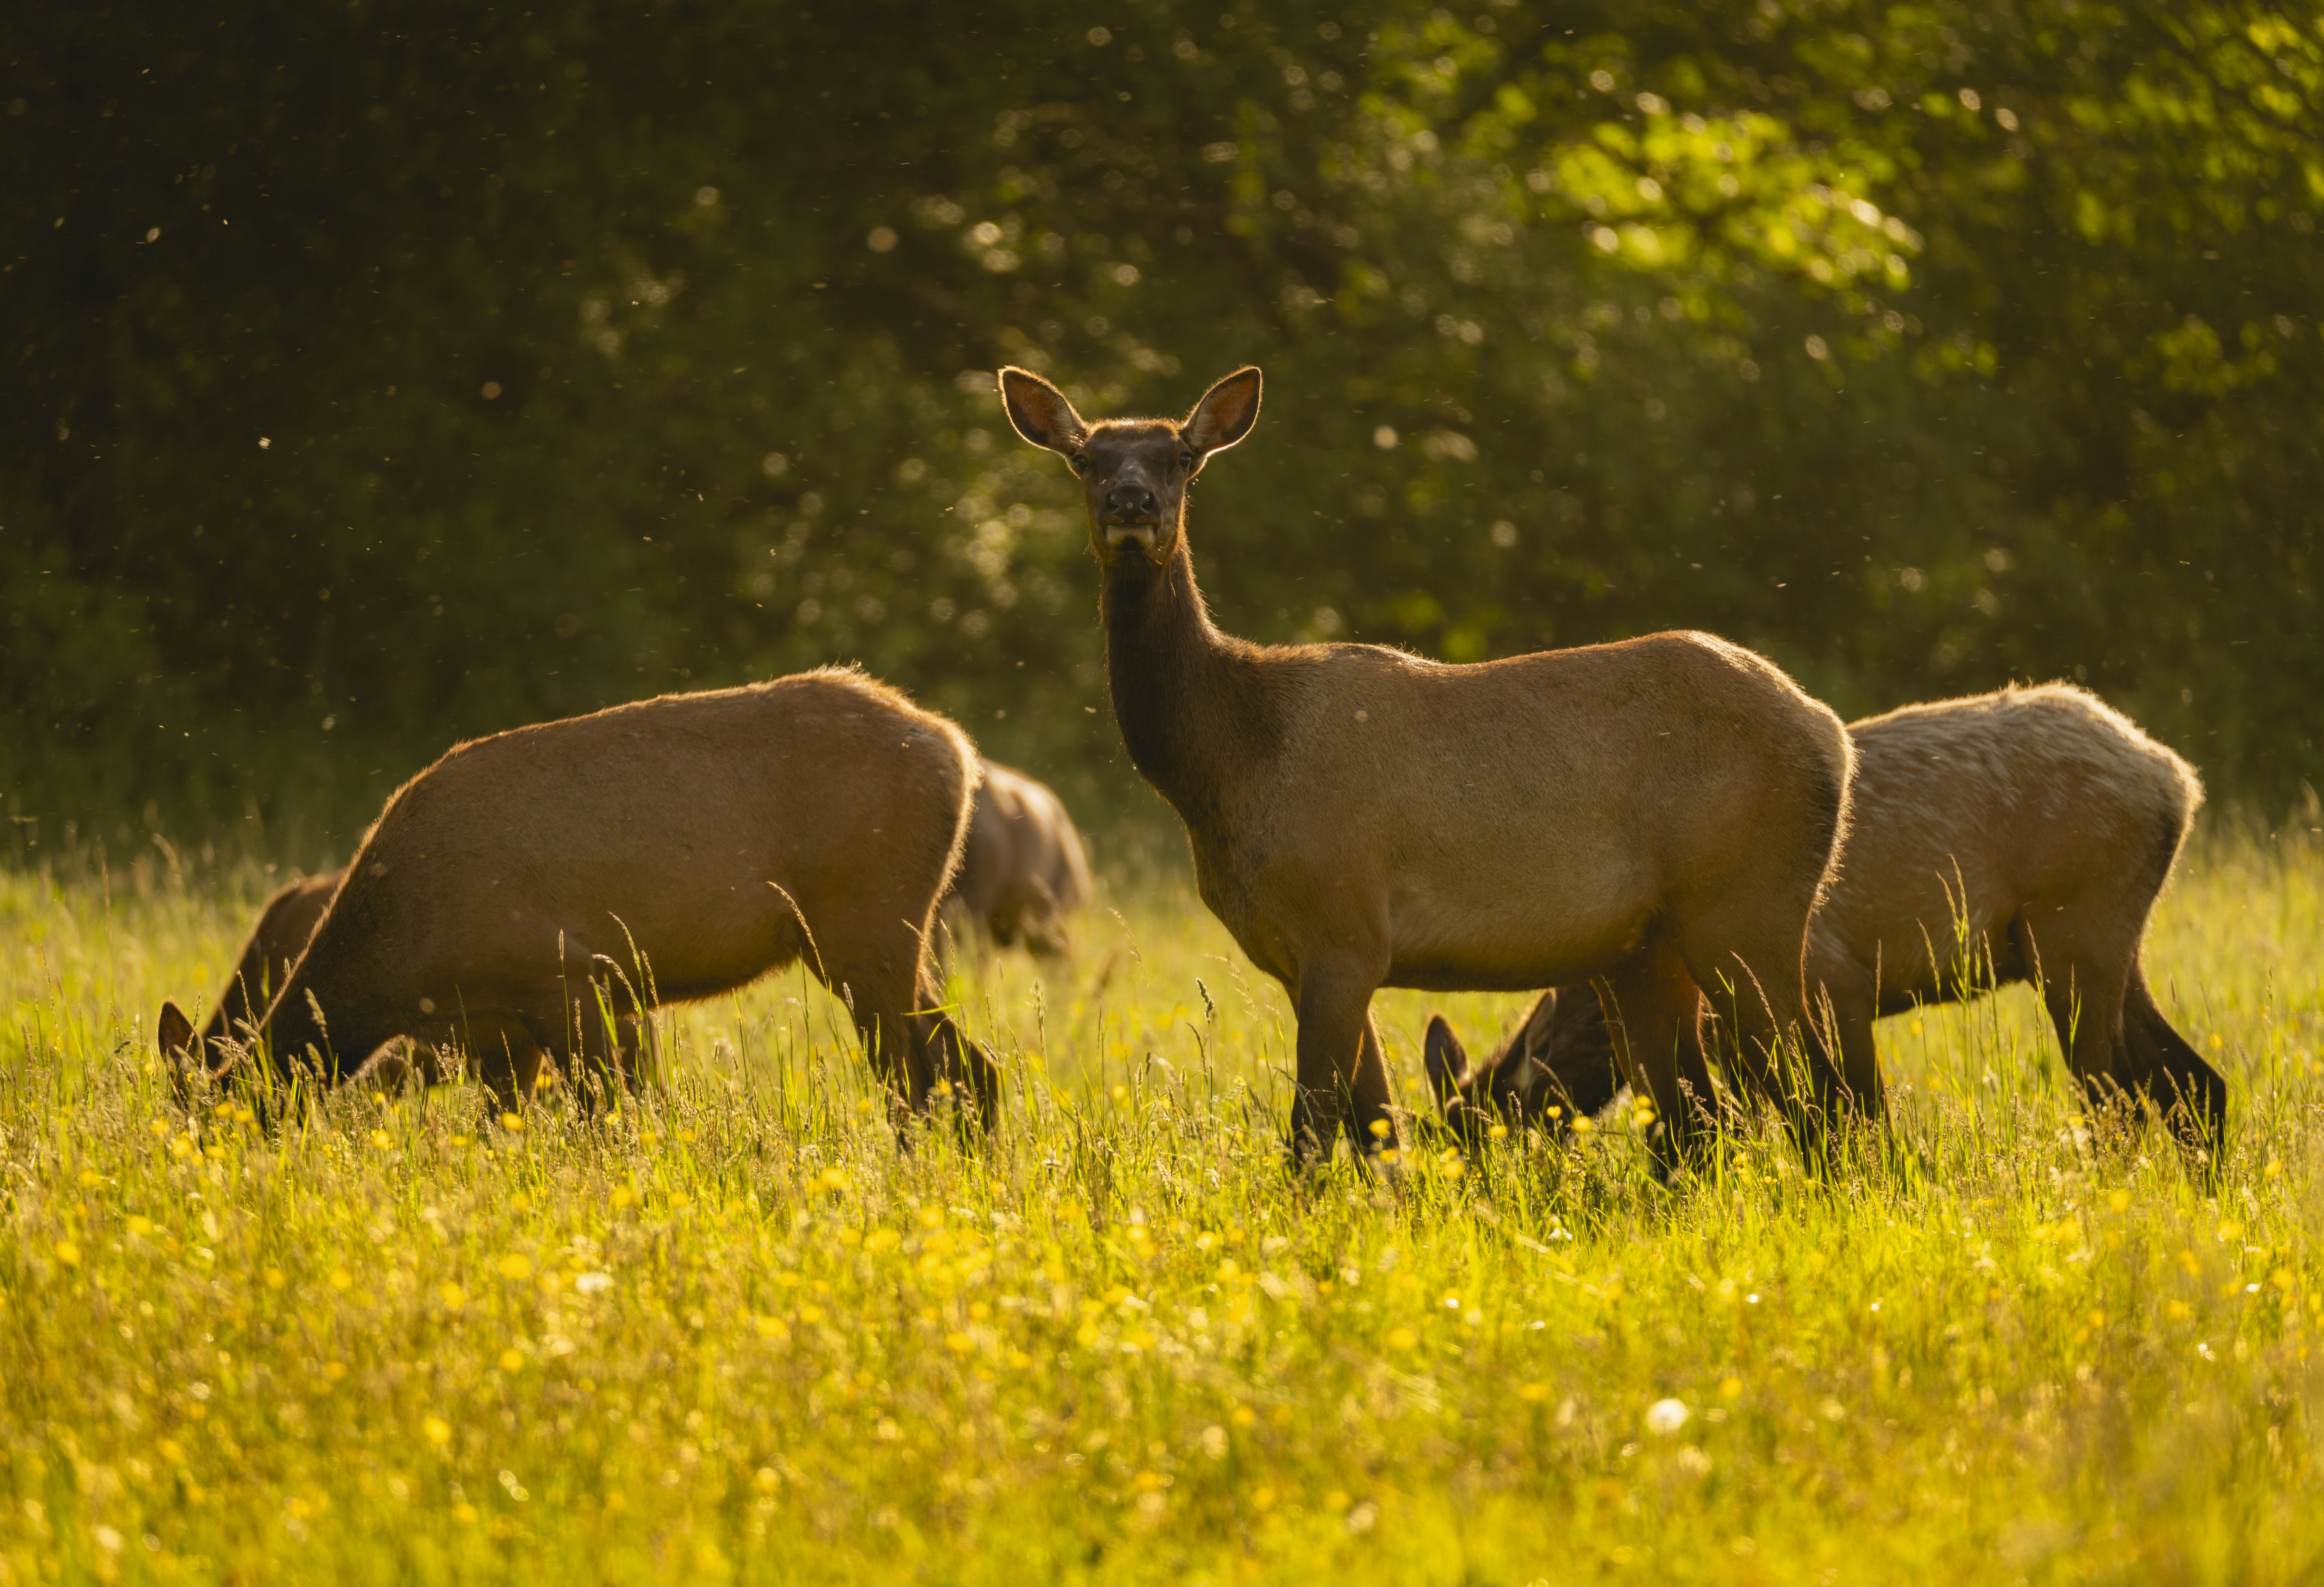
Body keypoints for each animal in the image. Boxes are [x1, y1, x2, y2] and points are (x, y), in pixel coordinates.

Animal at [156, 666, 999, 1128]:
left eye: (222, 1124)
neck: (400, 961)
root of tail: (957, 751)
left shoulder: (564, 974)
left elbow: (609, 1117)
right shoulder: (495, 1033)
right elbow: (504, 1131)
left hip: (863, 924)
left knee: (919, 1074)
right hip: (889, 933)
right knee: (970, 1065)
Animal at [998, 363, 1866, 1169]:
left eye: (1181, 456)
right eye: (1085, 458)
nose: (1132, 504)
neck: (1232, 765)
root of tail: (1829, 734)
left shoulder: (1344, 925)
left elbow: (1312, 1134)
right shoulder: (1299, 955)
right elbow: (1378, 1131)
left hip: (1744, 905)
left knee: (1823, 1097)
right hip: (1648, 947)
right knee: (1698, 1120)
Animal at [1424, 682, 2226, 1158]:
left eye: (1488, 1138)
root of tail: (2178, 782)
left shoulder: (1833, 981)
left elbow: (1861, 1117)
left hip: (2073, 932)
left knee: (2117, 1099)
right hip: (2109, 945)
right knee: (2195, 1082)